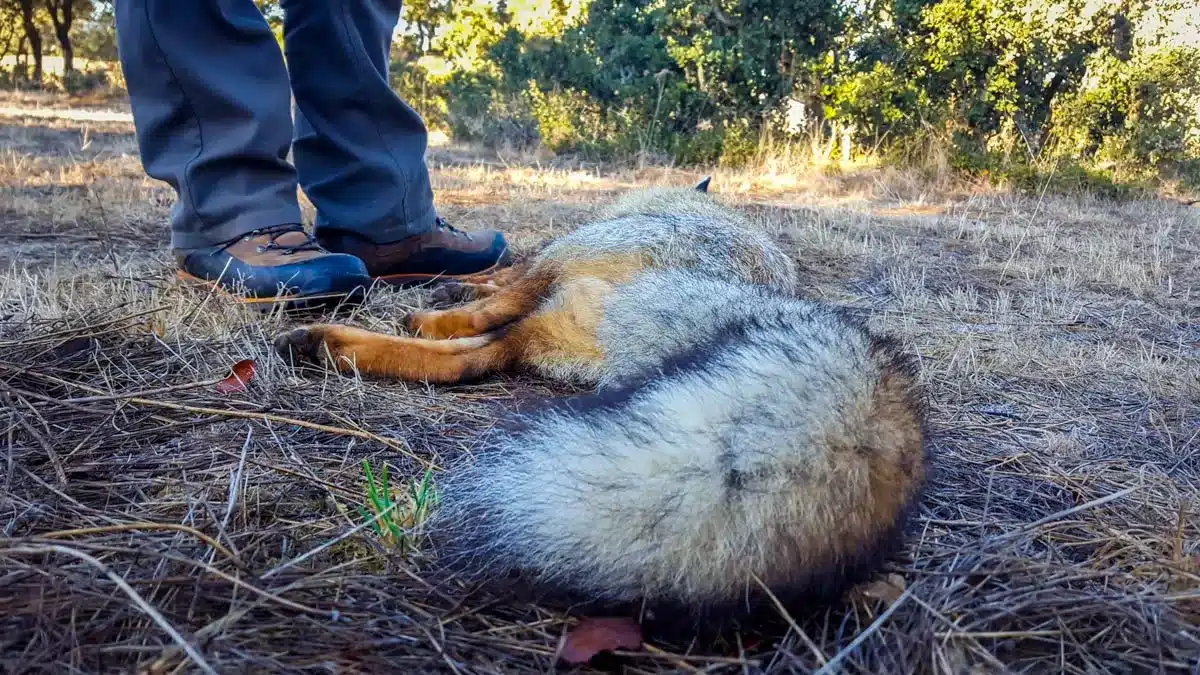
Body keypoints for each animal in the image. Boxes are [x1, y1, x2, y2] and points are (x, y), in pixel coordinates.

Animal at [274, 179, 928, 629]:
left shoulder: (551, 257)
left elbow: (500, 277)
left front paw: (453, 285)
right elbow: (495, 283)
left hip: (565, 269)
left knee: (481, 322)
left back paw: (388, 323)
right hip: (546, 331)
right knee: (467, 359)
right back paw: (328, 346)